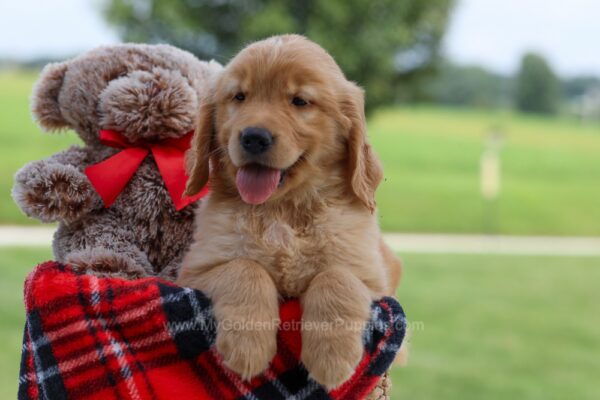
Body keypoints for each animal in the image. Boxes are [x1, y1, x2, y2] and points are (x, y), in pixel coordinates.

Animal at [178, 36, 404, 390]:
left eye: (300, 101)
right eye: (239, 97)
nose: (254, 137)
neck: (283, 209)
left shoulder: (373, 280)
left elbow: (337, 277)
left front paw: (332, 358)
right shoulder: (194, 271)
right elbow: (244, 268)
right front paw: (248, 348)